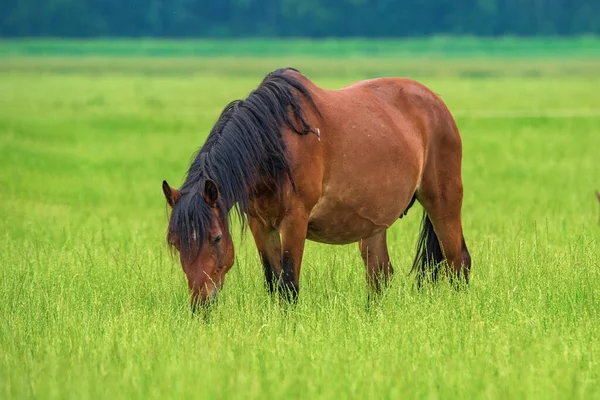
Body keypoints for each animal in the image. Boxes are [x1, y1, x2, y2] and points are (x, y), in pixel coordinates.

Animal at [162, 67, 472, 310]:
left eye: (215, 239)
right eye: (177, 244)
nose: (201, 305)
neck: (275, 144)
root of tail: (436, 102)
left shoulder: (294, 220)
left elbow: (288, 284)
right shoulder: (260, 224)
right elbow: (272, 281)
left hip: (443, 203)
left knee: (458, 262)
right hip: (375, 223)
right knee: (380, 275)